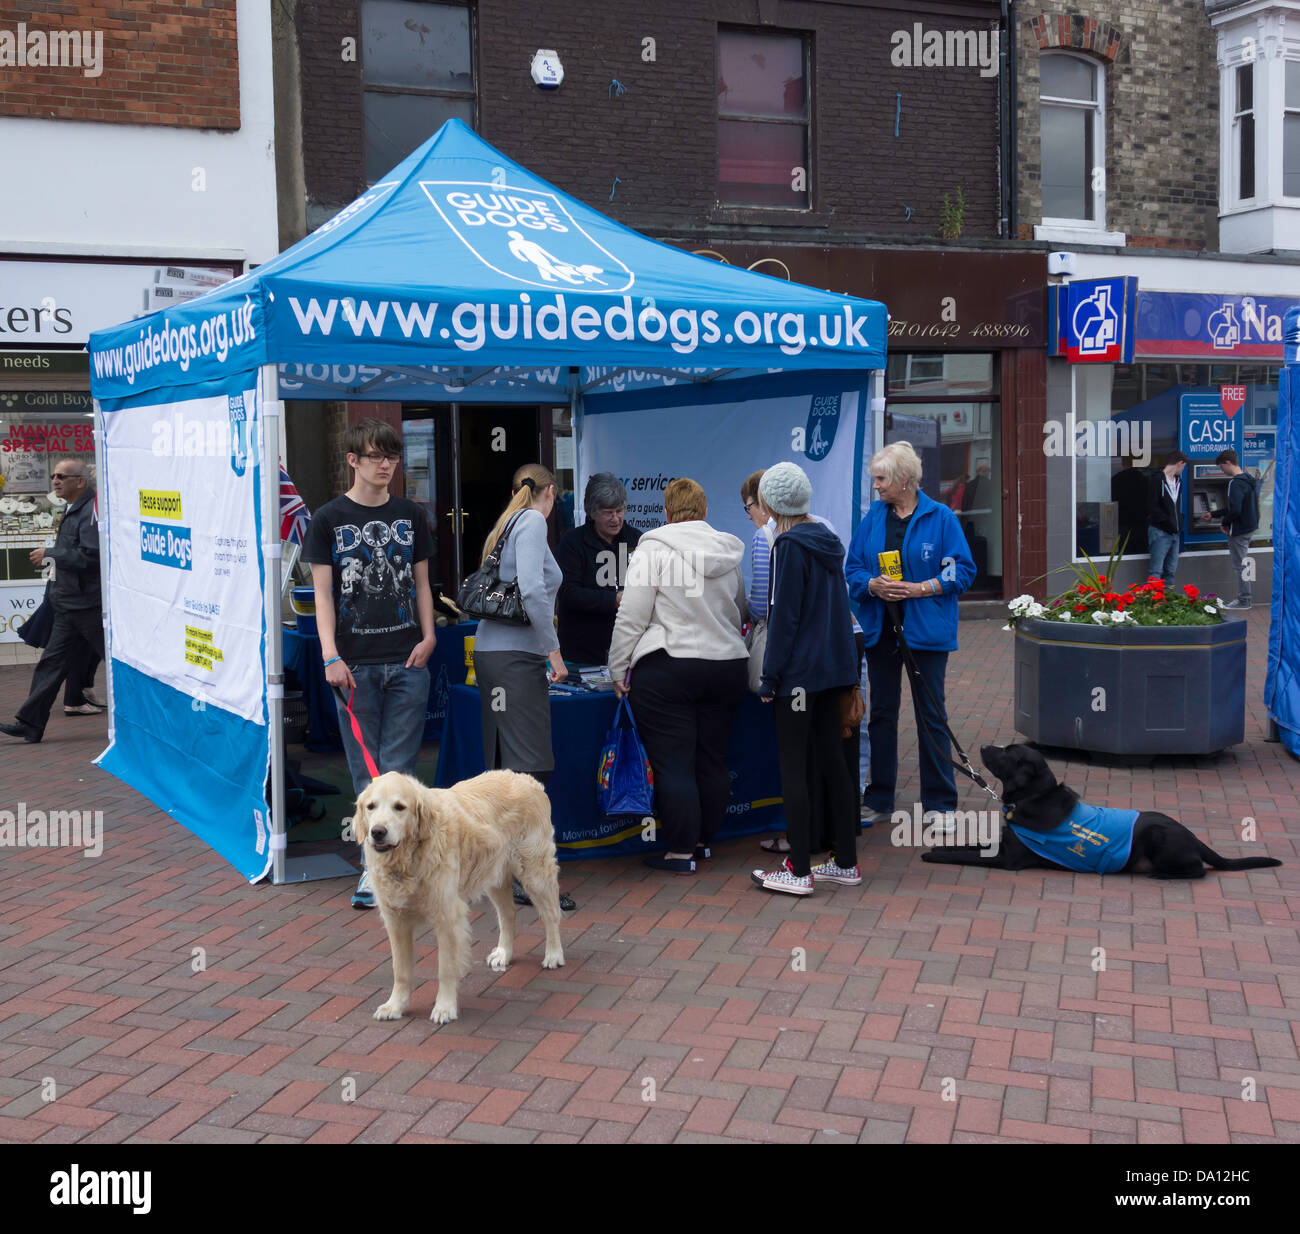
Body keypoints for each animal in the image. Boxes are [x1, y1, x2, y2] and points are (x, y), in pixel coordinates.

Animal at [356, 769, 564, 1019]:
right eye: (371, 806)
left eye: (399, 807)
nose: (377, 832)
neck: (410, 857)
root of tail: (526, 778)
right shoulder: (396, 920)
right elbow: (401, 970)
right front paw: (394, 1006)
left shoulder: (447, 917)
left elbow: (446, 968)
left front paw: (444, 1008)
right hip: (494, 874)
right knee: (508, 914)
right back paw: (504, 953)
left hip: (534, 871)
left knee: (551, 913)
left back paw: (554, 954)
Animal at [920, 743, 1284, 873]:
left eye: (1008, 753)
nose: (983, 746)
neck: (1033, 798)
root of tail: (1194, 837)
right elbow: (966, 846)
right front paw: (939, 848)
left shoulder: (1008, 860)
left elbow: (967, 856)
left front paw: (932, 856)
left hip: (1159, 837)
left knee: (1196, 870)